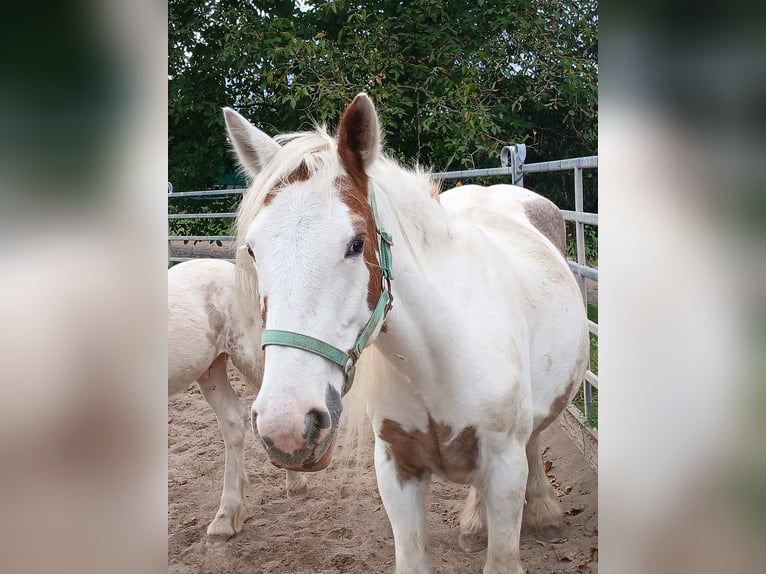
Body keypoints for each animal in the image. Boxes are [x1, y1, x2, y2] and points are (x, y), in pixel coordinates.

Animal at [225, 92, 592, 572]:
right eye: (253, 249)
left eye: (356, 244)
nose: (285, 427)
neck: (437, 360)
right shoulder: (396, 470)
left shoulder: (505, 466)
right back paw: (475, 524)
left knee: (535, 439)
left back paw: (544, 514)